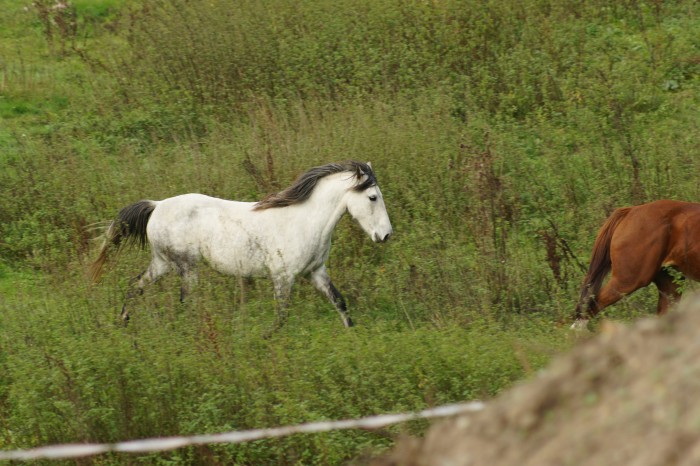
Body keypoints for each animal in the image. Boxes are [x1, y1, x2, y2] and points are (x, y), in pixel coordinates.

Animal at [90, 162, 392, 330]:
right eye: (373, 197)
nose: (386, 235)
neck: (304, 221)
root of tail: (157, 205)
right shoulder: (283, 277)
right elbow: (282, 316)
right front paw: (266, 340)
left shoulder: (316, 272)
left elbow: (339, 302)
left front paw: (353, 334)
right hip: (186, 267)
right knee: (185, 302)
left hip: (162, 263)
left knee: (135, 286)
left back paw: (124, 322)